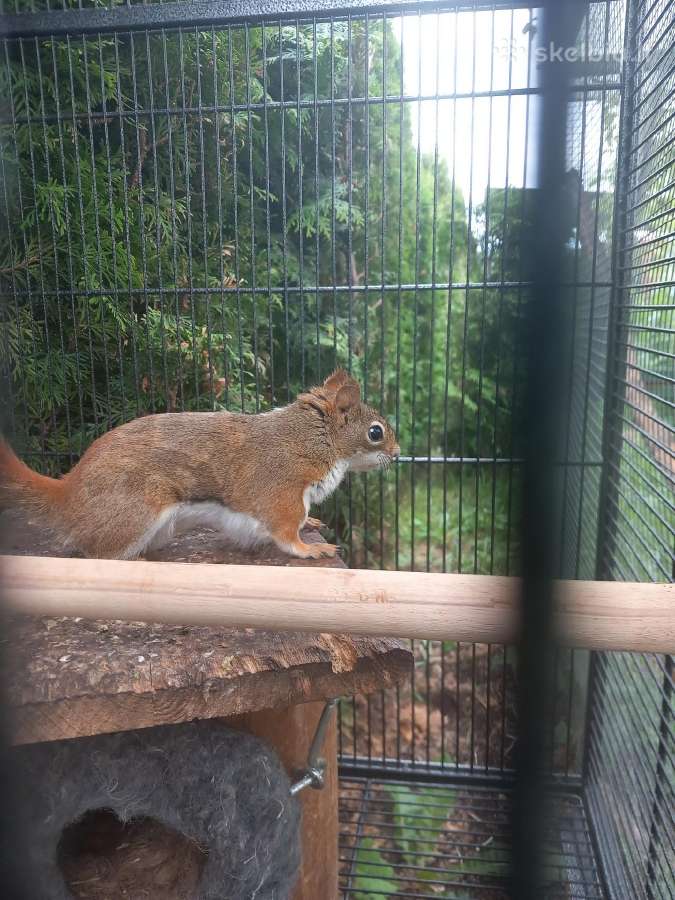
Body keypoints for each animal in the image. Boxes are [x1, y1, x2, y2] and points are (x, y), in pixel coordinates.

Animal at [0, 369, 399, 560]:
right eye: (375, 432)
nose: (397, 453)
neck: (314, 438)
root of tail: (68, 494)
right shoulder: (282, 490)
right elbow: (286, 532)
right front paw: (310, 548)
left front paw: (313, 524)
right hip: (135, 514)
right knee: (100, 555)